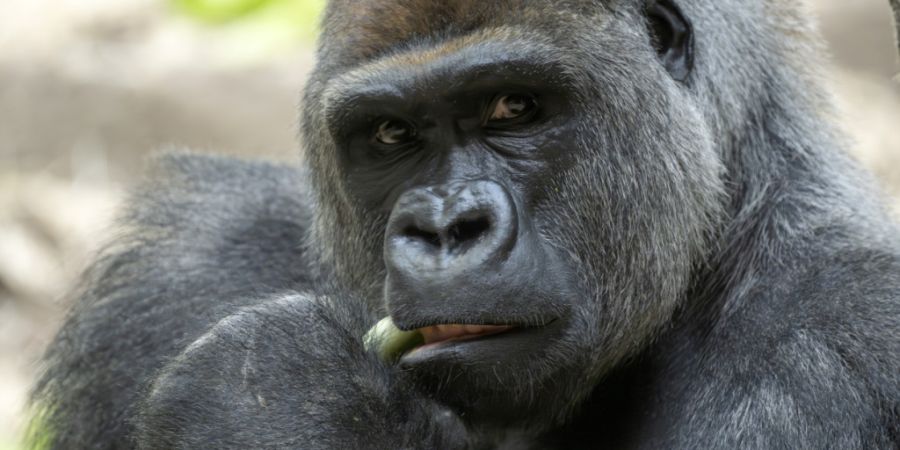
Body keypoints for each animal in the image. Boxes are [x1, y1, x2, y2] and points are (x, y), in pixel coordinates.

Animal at [29, 0, 900, 448]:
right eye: (391, 134)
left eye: (515, 107)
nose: (448, 227)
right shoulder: (193, 258)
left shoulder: (844, 333)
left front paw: (277, 397)